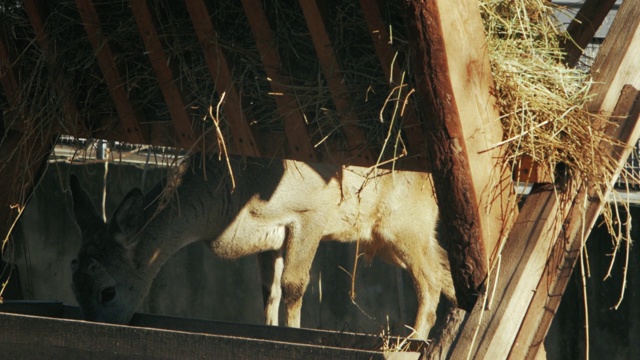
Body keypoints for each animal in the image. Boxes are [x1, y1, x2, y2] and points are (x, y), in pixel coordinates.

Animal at [70, 153, 456, 338]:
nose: (95, 325)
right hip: (394, 236)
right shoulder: (270, 238)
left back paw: (412, 339)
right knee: (445, 272)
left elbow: (294, 286)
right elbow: (269, 292)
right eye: (74, 285)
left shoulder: (311, 212)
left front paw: (293, 334)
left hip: (406, 223)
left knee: (430, 282)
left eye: (107, 291)